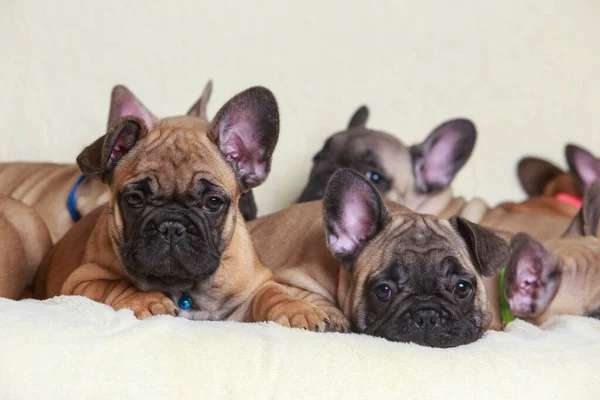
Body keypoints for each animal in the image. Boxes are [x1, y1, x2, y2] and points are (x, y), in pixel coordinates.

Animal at [34, 88, 342, 332]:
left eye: (213, 202)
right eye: (134, 199)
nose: (172, 226)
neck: (182, 286)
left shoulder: (253, 287)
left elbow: (273, 294)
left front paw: (299, 310)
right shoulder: (81, 283)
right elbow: (117, 284)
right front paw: (149, 300)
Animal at [248, 169, 510, 346]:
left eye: (462, 288)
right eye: (383, 291)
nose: (426, 314)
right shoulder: (286, 280)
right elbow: (307, 297)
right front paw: (330, 316)